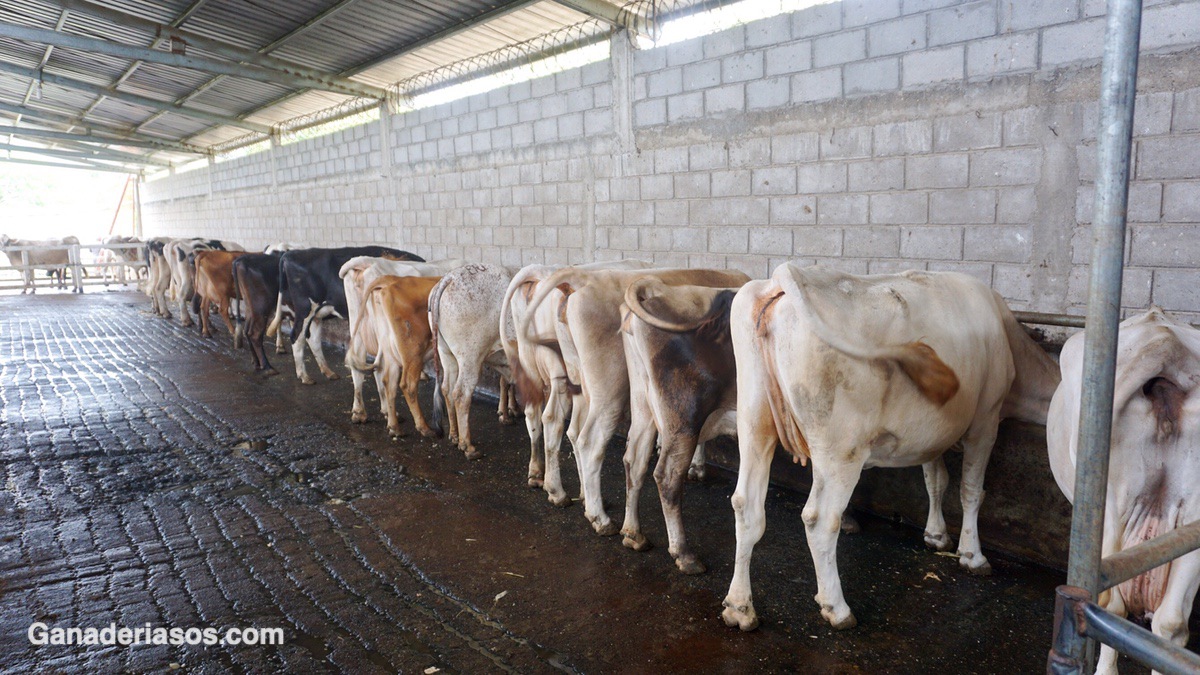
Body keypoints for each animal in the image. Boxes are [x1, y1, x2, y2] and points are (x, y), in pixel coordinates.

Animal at [266, 246, 422, 384]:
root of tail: (289, 254)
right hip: (305, 309)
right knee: (297, 338)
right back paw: (304, 376)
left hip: (314, 314)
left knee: (313, 340)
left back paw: (329, 372)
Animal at [715, 263, 1056, 629]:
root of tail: (782, 279)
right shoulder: (986, 420)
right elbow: (971, 490)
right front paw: (972, 554)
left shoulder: (932, 432)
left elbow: (935, 480)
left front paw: (936, 535)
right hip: (840, 450)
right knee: (820, 520)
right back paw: (837, 608)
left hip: (754, 423)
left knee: (746, 506)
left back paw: (739, 607)